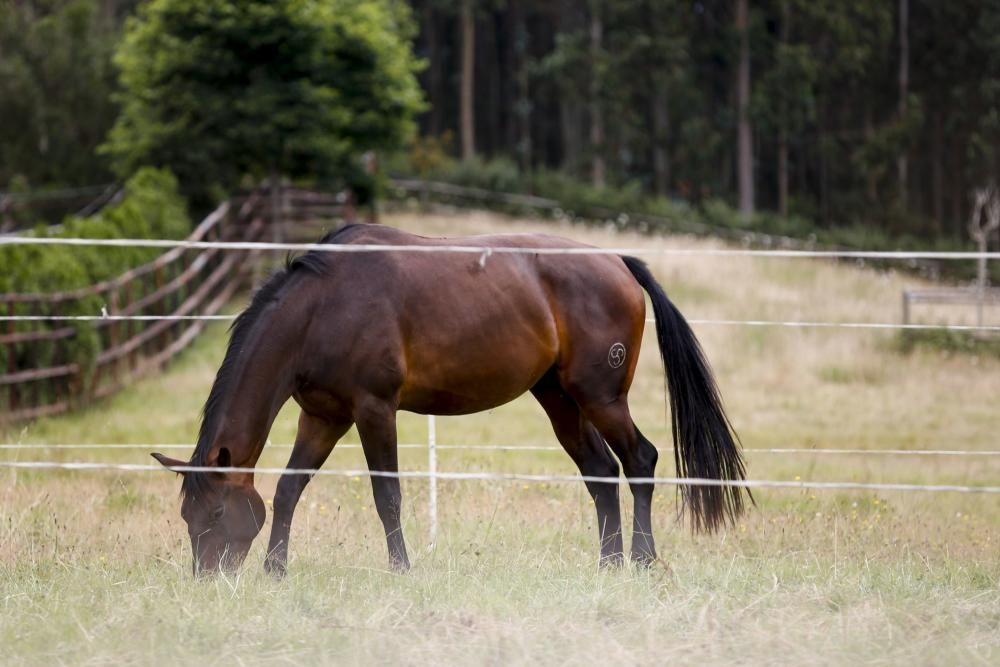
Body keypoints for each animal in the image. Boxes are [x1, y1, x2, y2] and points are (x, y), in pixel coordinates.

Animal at [154, 223, 752, 576]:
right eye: (187, 516)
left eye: (214, 514)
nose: (208, 577)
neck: (320, 309)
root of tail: (618, 263)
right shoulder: (323, 416)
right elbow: (288, 489)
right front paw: (276, 569)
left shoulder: (374, 410)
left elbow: (387, 495)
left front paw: (401, 569)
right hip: (560, 400)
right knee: (602, 473)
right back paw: (608, 564)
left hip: (601, 398)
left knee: (640, 461)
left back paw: (643, 562)